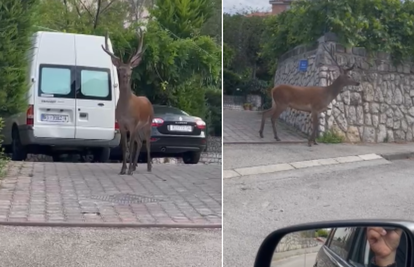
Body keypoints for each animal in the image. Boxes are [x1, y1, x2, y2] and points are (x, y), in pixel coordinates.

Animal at [100, 28, 154, 176]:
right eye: (120, 69)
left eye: (131, 68)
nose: (126, 75)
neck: (126, 108)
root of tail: (148, 101)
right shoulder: (123, 124)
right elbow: (124, 147)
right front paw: (123, 169)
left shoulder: (133, 123)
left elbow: (130, 146)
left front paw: (128, 170)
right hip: (139, 127)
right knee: (140, 142)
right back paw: (135, 166)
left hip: (148, 123)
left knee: (147, 143)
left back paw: (148, 167)